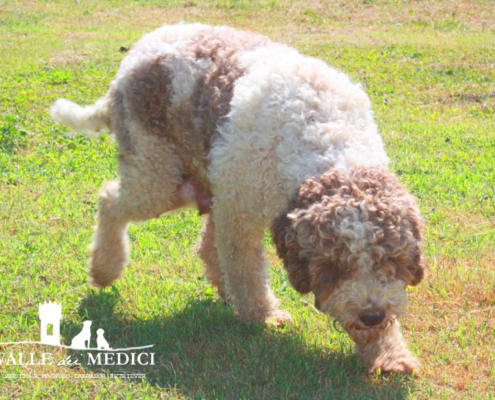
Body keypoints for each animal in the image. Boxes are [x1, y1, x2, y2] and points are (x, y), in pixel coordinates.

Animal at [51, 24, 426, 376]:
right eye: (334, 266)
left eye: (391, 261)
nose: (372, 315)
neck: (326, 138)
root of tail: (134, 55)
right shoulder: (241, 215)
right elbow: (246, 271)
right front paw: (263, 314)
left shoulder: (235, 199)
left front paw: (388, 353)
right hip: (159, 174)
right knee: (109, 201)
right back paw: (105, 267)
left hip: (204, 179)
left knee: (204, 243)